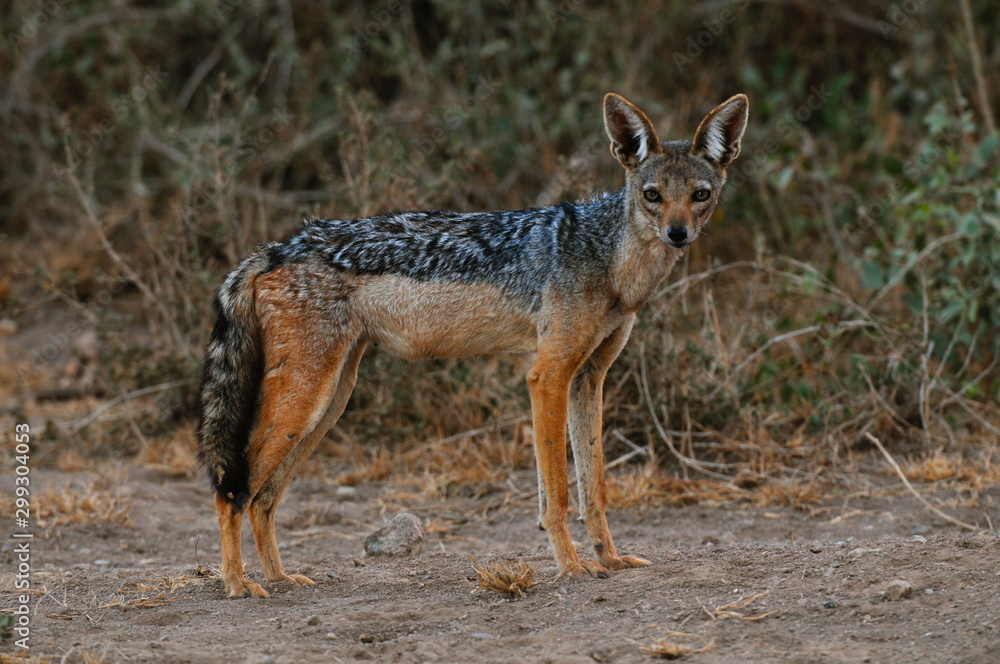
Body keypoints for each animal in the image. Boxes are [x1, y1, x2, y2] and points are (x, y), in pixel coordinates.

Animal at [197, 92, 749, 598]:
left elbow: (595, 488)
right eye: (653, 195)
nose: (677, 233)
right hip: (305, 400)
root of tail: (278, 247)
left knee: (263, 497)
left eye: (699, 194)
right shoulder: (546, 376)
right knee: (233, 489)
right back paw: (238, 585)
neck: (611, 263)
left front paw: (608, 560)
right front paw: (572, 568)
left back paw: (279, 578)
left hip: (329, 402)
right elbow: (557, 496)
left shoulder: (588, 379)